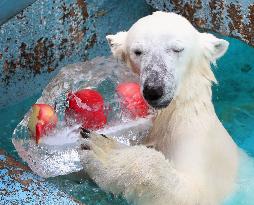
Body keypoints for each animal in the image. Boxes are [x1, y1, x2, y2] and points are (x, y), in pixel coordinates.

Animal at [79, 11, 238, 205]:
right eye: (137, 51)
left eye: (177, 49)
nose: (154, 89)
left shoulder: (200, 145)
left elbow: (191, 192)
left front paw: (104, 150)